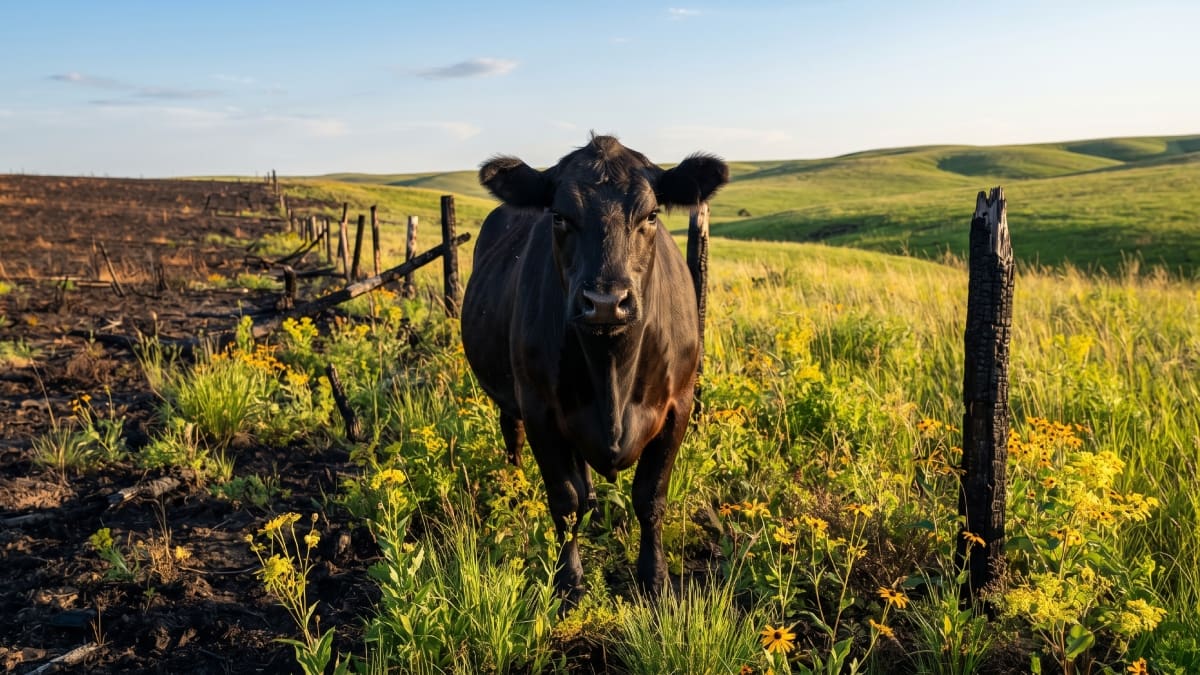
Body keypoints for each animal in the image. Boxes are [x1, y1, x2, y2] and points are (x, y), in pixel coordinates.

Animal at [461, 134, 728, 604]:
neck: (612, 372)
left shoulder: (678, 405)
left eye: (651, 215)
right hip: (514, 398)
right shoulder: (540, 411)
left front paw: (655, 579)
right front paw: (569, 582)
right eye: (560, 216)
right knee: (512, 435)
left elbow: (650, 498)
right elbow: (564, 502)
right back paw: (514, 490)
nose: (605, 302)